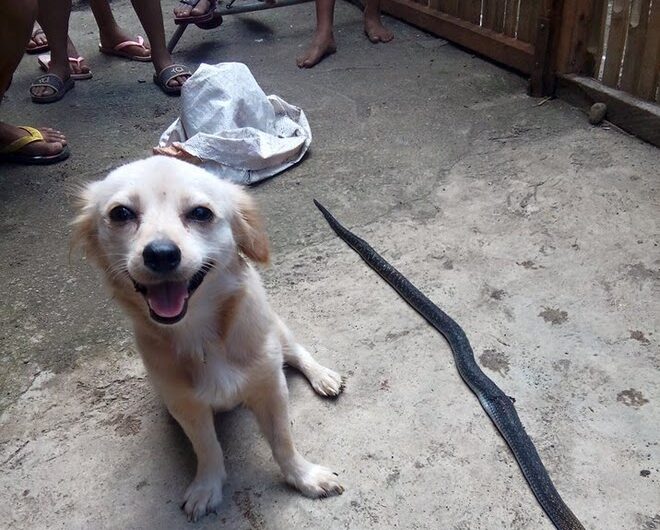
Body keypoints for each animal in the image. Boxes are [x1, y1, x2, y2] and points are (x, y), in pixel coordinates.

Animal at [73, 157, 346, 520]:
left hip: (277, 331)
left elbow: (283, 441)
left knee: (297, 352)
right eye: (121, 213)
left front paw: (304, 477)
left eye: (201, 213)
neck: (202, 335)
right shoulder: (186, 406)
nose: (161, 254)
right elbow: (207, 448)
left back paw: (322, 376)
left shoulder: (271, 388)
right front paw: (208, 487)